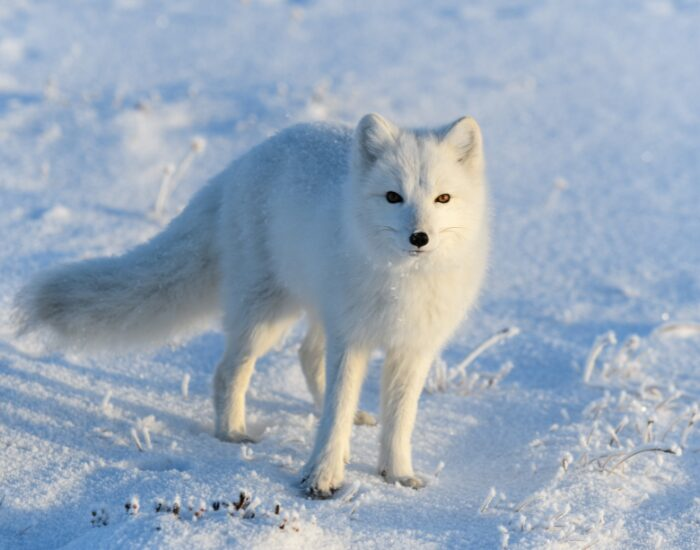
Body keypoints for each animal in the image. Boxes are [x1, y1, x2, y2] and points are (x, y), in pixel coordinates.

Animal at [15, 113, 489, 497]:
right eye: (393, 197)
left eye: (443, 199)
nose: (419, 237)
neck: (402, 284)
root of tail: (241, 163)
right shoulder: (351, 338)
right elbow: (334, 415)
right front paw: (322, 477)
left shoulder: (413, 347)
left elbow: (400, 419)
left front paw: (397, 476)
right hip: (265, 314)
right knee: (230, 371)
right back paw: (233, 433)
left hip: (312, 308)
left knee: (306, 354)